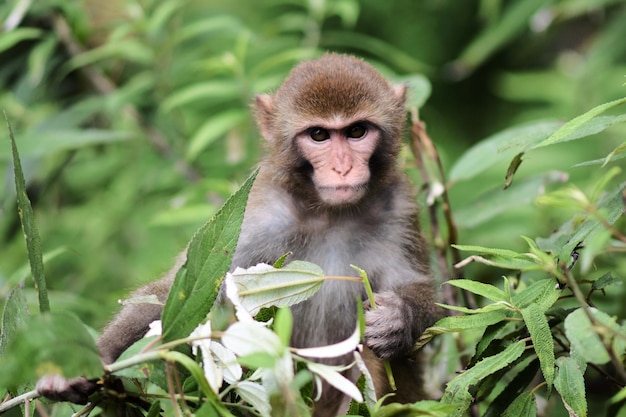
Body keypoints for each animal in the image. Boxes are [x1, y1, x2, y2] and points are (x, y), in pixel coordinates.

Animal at [37, 53, 438, 414]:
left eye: (356, 131)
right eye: (319, 135)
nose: (342, 168)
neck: (330, 213)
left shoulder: (399, 208)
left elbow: (423, 291)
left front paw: (398, 318)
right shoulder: (259, 214)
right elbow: (179, 294)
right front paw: (86, 360)